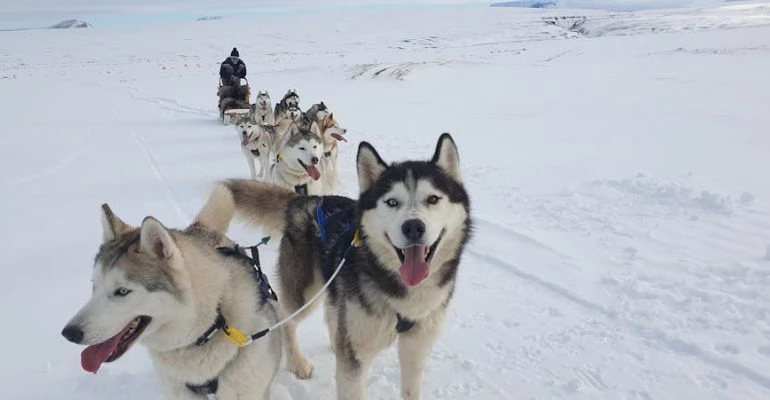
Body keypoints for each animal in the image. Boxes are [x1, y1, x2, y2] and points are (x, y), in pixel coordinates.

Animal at [198, 133, 472, 398]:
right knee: (288, 321)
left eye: (433, 199)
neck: (402, 293)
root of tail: (306, 200)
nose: (413, 227)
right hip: (305, 294)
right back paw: (298, 363)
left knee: (331, 317)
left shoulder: (416, 349)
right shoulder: (356, 357)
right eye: (392, 202)